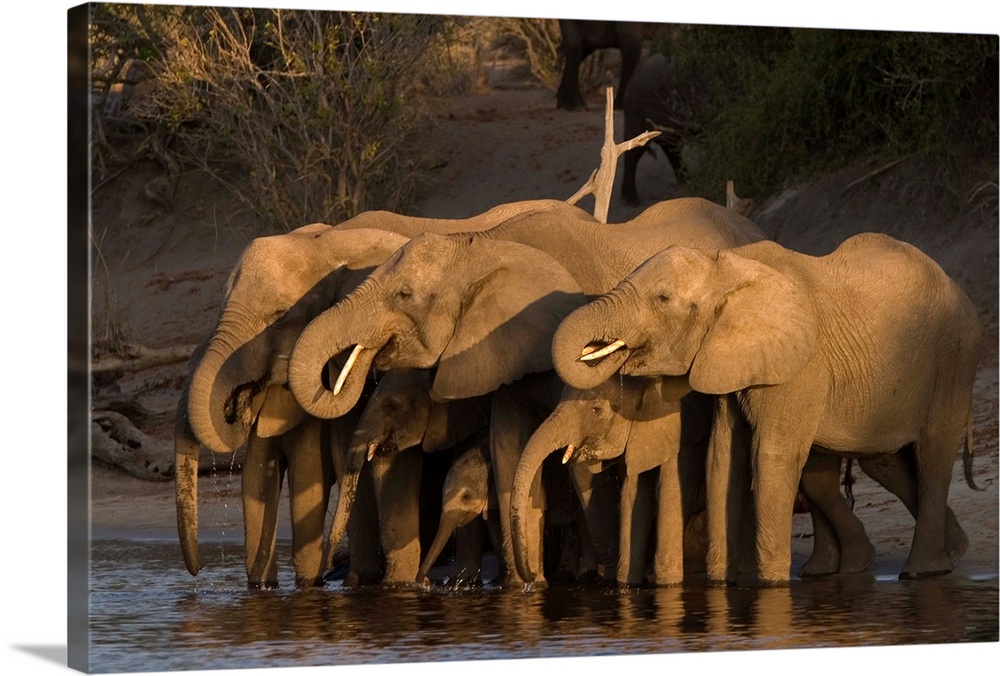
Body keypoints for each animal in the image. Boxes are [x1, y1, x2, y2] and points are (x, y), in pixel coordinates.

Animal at [552, 231, 980, 580]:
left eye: (662, 299)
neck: (727, 265)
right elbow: (722, 458)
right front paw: (721, 585)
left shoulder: (800, 365)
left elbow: (771, 456)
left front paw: (771, 587)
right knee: (877, 463)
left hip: (954, 356)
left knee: (932, 456)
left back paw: (922, 571)